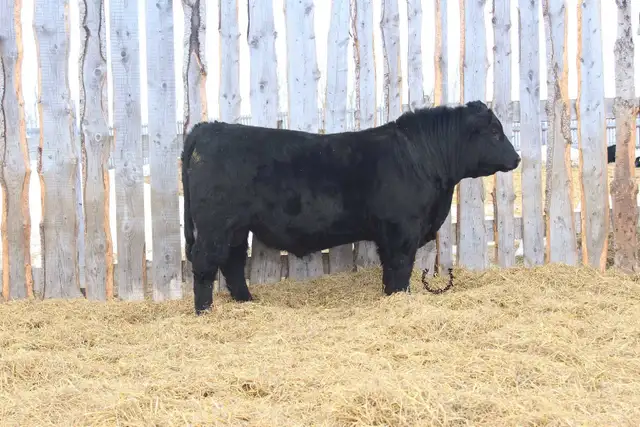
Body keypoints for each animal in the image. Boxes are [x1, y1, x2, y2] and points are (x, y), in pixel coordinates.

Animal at [181, 100, 521, 315]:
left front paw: (389, 296)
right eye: (494, 132)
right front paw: (400, 298)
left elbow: (389, 269)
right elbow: (400, 266)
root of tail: (208, 128)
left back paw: (247, 302)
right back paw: (204, 312)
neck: (422, 158)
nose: (517, 158)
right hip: (215, 225)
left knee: (233, 262)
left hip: (236, 227)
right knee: (206, 263)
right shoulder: (403, 229)